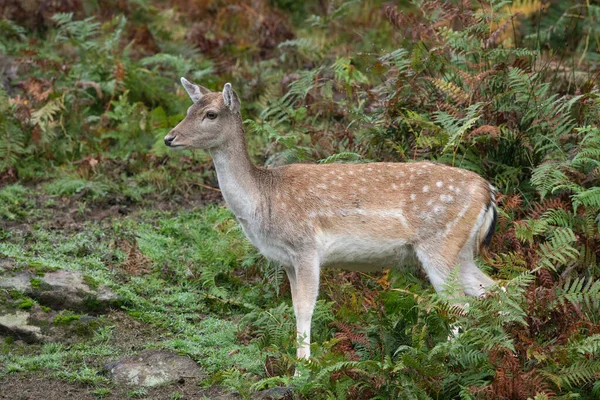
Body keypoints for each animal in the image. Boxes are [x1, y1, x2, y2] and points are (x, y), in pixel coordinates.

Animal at [164, 79, 496, 360]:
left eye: (210, 114)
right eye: (188, 110)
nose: (169, 137)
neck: (263, 200)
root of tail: (487, 192)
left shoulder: (306, 248)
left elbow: (305, 309)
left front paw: (302, 370)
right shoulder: (287, 260)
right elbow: (295, 307)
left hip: (439, 244)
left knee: (460, 305)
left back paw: (444, 357)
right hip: (461, 251)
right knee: (493, 290)